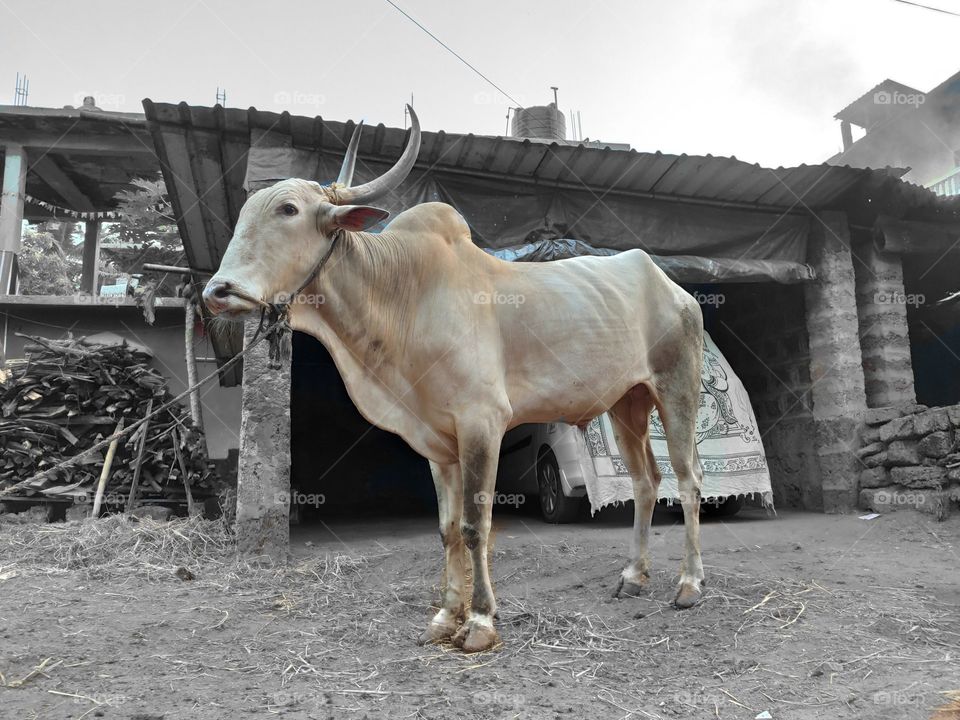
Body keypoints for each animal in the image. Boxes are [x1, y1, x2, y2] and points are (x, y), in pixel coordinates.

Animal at [203, 107, 706, 653]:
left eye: (288, 209)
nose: (217, 291)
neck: (404, 294)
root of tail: (672, 287)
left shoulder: (482, 422)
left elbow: (474, 524)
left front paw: (481, 621)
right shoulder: (437, 442)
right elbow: (446, 528)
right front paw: (446, 615)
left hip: (676, 389)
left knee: (689, 480)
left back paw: (689, 585)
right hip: (625, 404)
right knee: (645, 481)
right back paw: (634, 576)